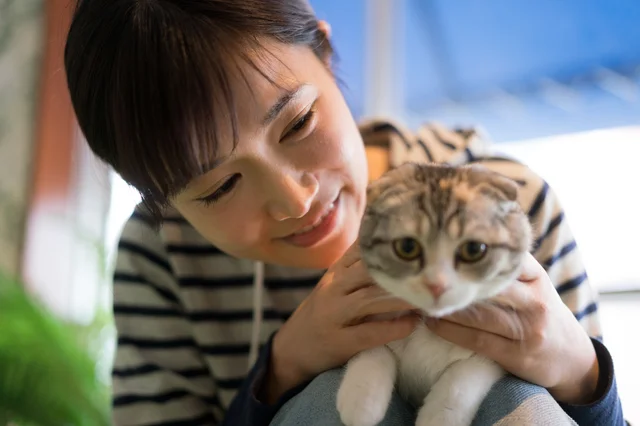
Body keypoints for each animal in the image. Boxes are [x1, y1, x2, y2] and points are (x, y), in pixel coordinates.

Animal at [338, 162, 532, 426]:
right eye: (407, 247)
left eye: (474, 249)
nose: (437, 285)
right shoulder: (371, 322)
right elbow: (374, 346)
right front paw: (360, 401)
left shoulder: (497, 351)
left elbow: (462, 379)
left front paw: (439, 416)